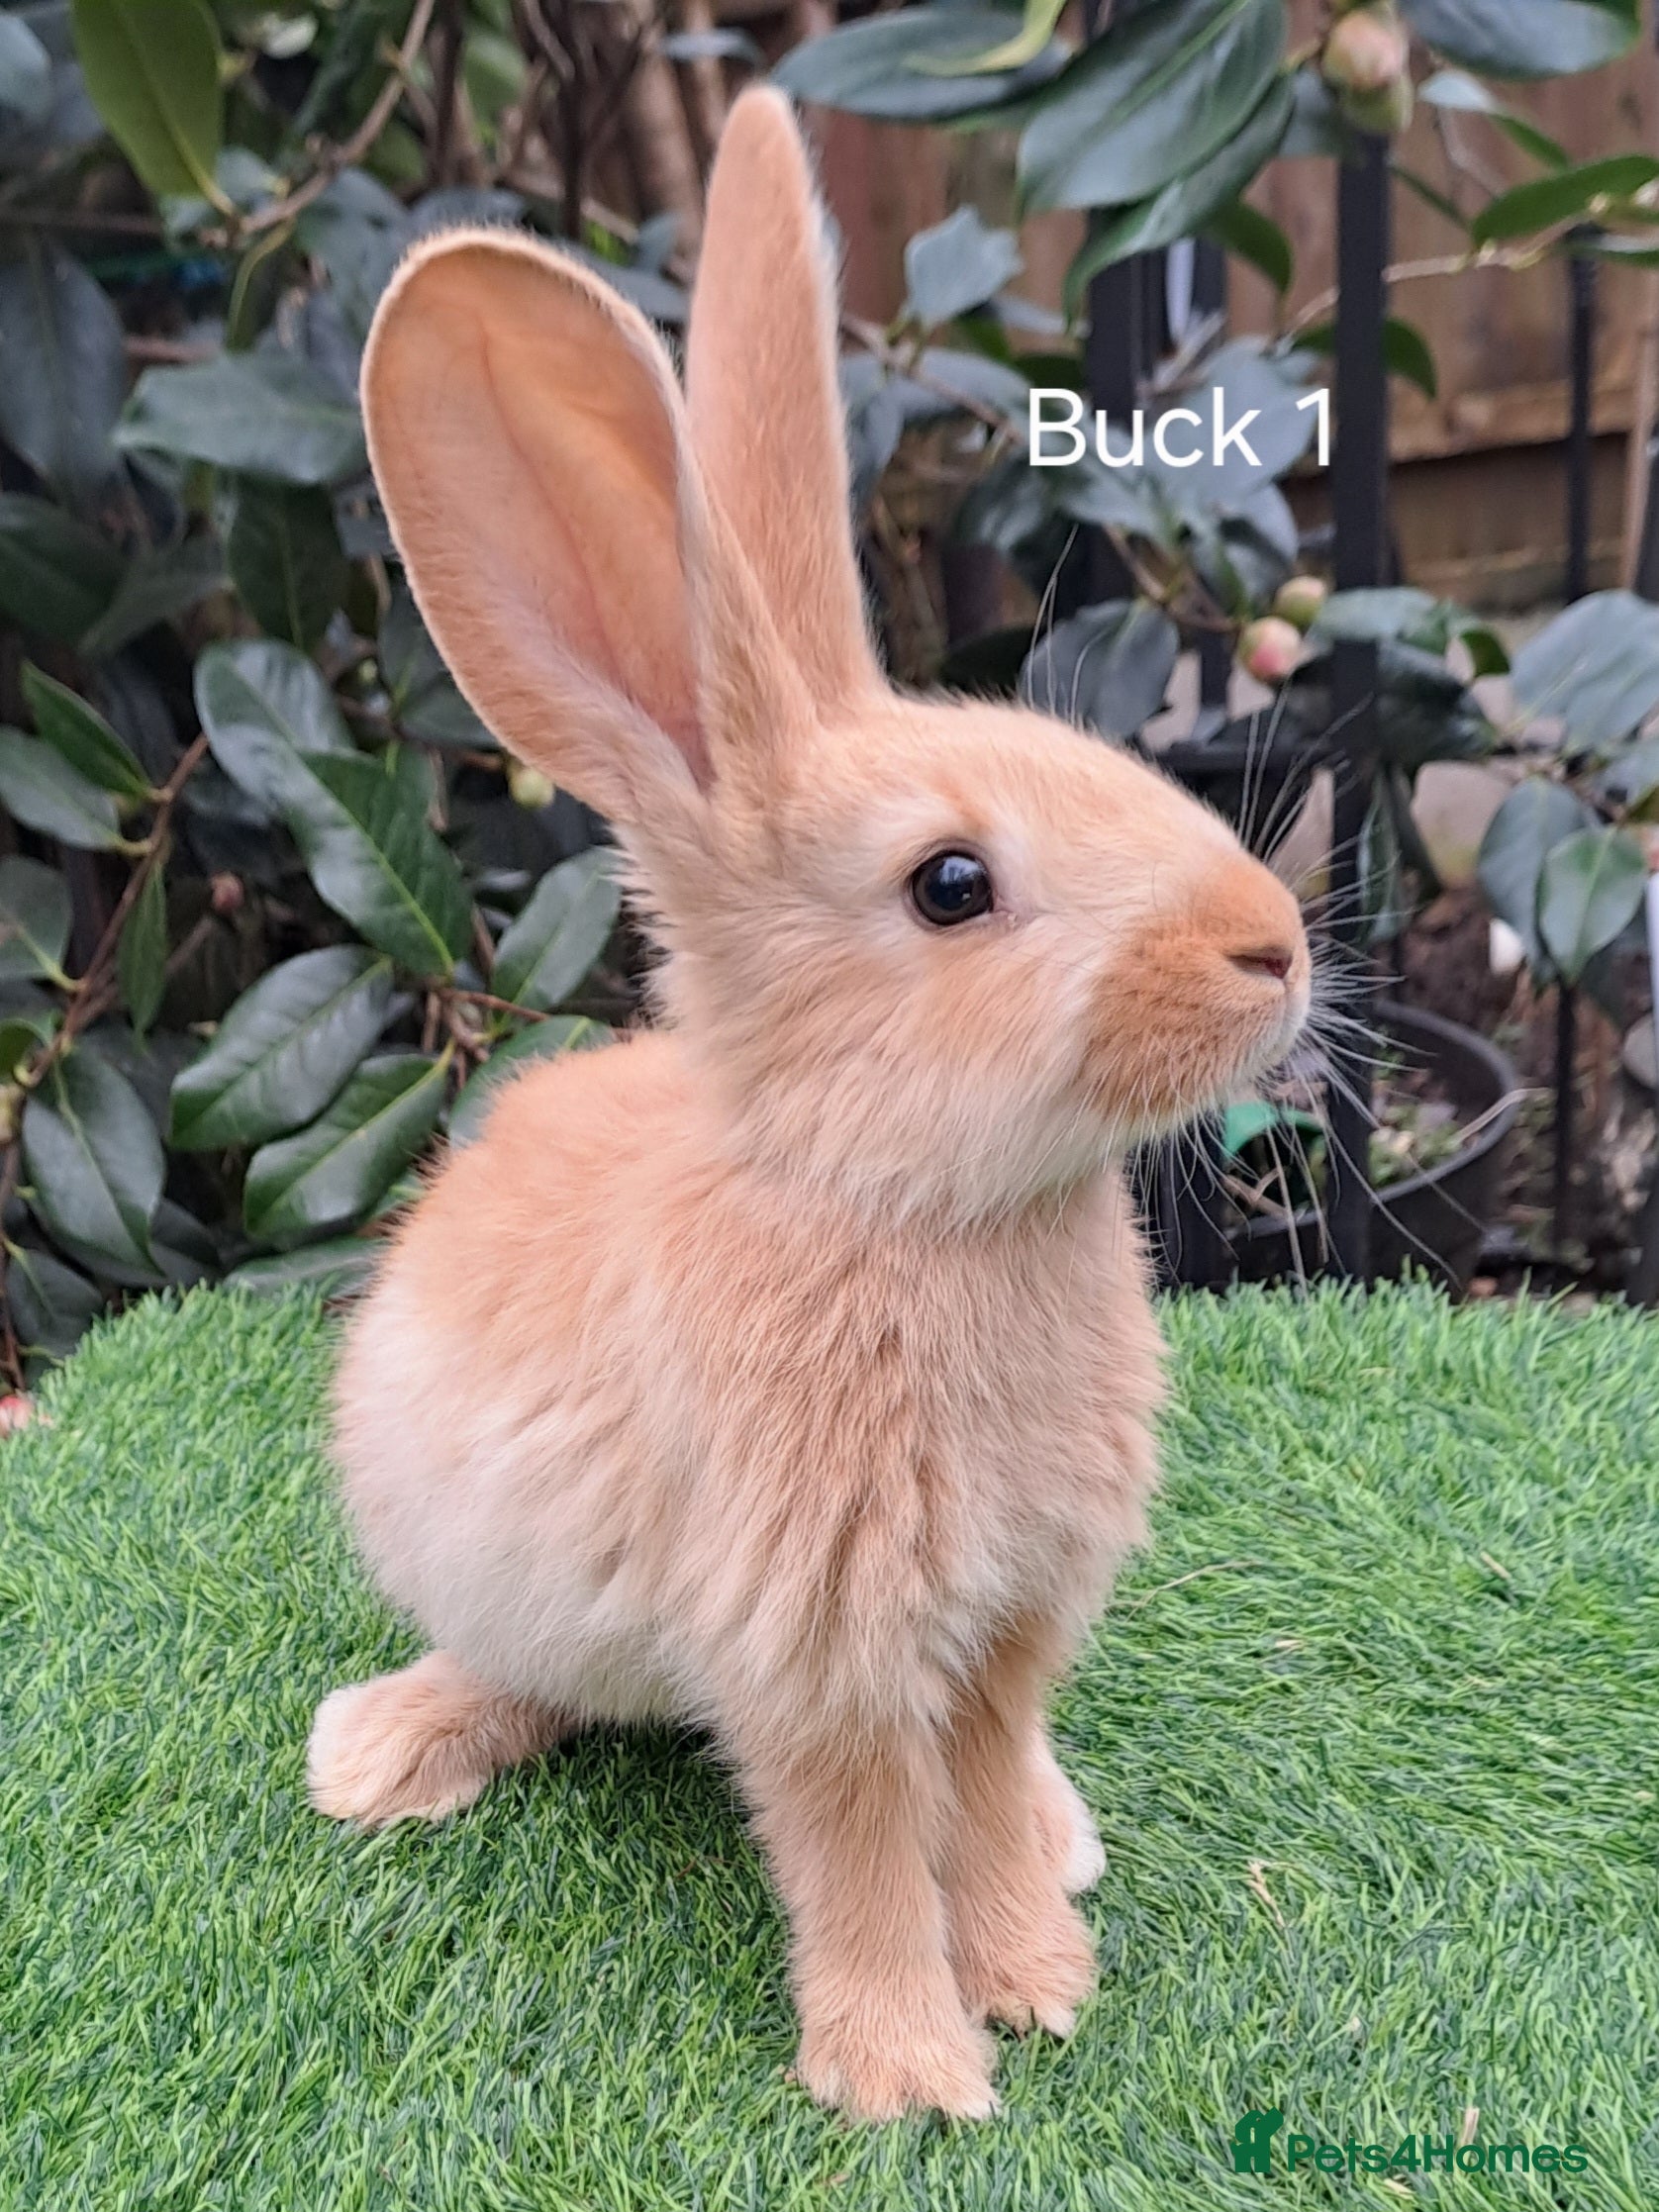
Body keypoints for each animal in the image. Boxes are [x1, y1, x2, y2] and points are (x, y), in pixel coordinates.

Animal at [306, 87, 1311, 2121]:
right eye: (950, 884)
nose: (1280, 943)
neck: (903, 1203)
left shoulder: (1003, 1630)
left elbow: (982, 1791)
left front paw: (1040, 1976)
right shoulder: (814, 1647)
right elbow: (855, 1845)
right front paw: (911, 2074)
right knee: (522, 1675)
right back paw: (376, 1753)